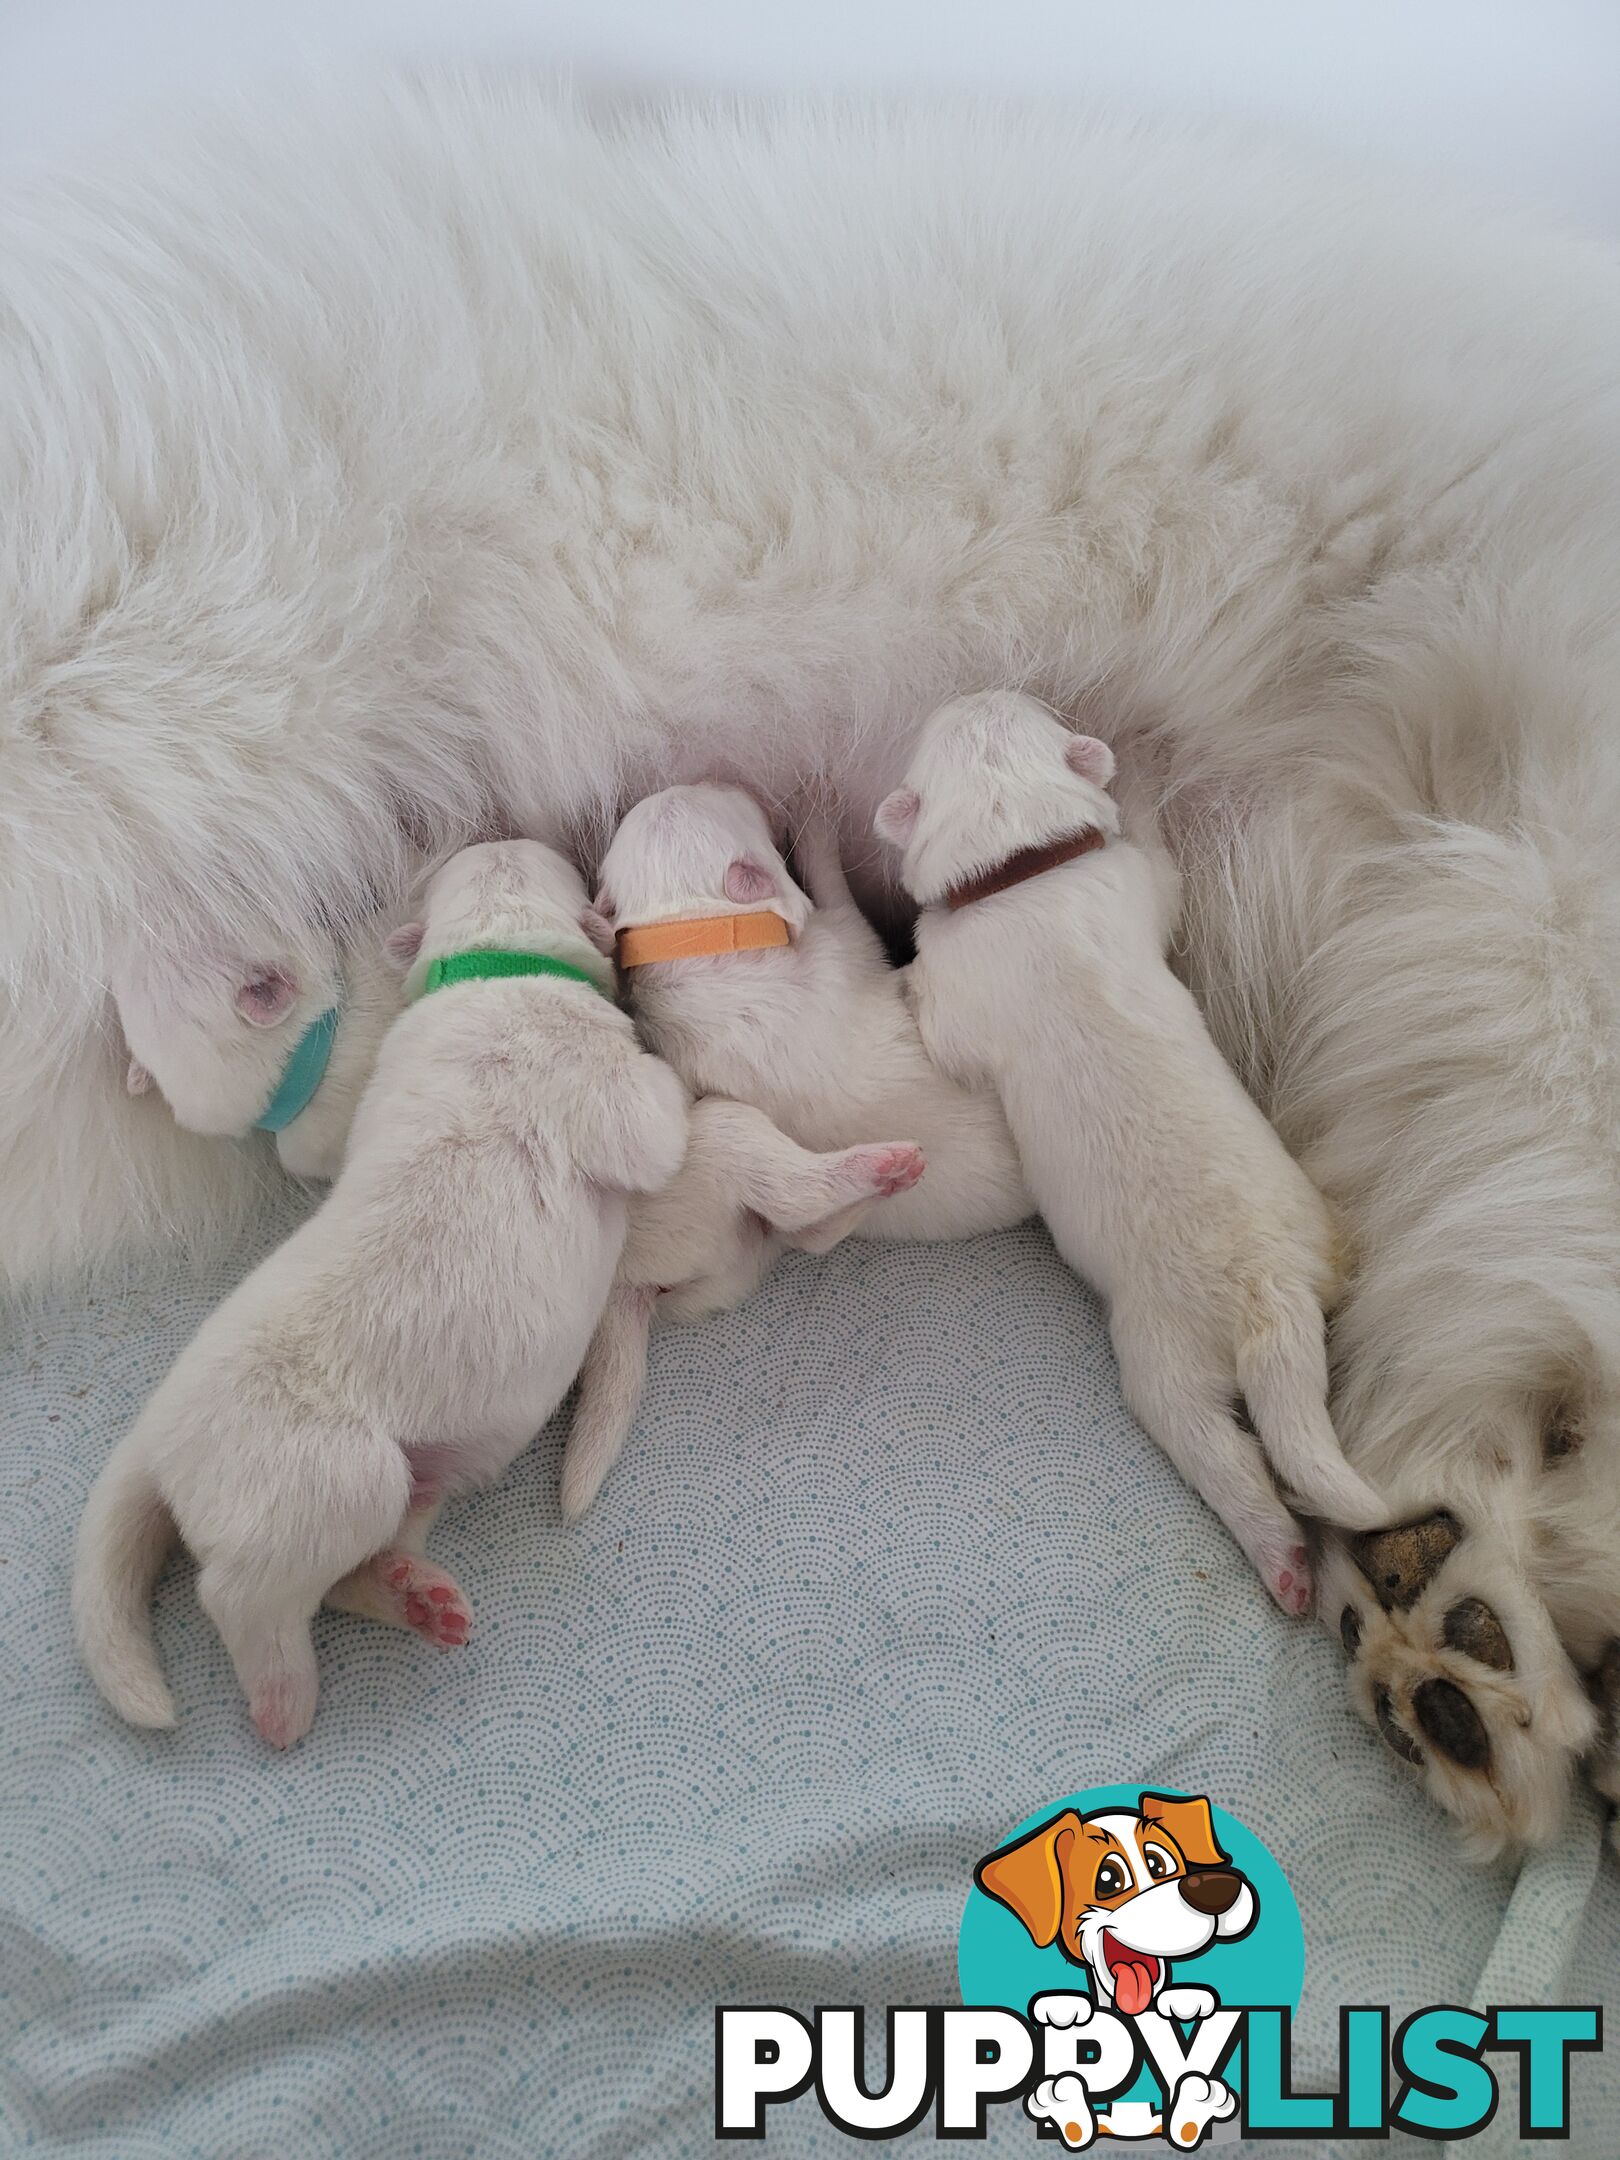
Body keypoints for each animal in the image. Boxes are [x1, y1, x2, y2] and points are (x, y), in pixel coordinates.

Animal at [71, 833, 686, 1745]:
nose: (503, 836)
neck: (493, 957)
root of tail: (152, 1440)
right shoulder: (602, 1082)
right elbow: (659, 1119)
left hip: (419, 1470)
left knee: (348, 1573)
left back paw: (416, 1598)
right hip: (325, 1478)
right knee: (240, 1594)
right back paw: (283, 1697)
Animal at [565, 1097, 924, 1520]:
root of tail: (620, 1284)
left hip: (728, 1272)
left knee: (807, 1233)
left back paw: (890, 1181)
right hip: (727, 1134)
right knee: (801, 1198)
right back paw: (882, 1162)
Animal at [881, 691, 1391, 1607]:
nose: (981, 692)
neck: (1025, 870)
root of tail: (1267, 1300)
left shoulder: (959, 991)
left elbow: (935, 1018)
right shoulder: (1134, 887)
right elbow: (1164, 874)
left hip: (1162, 1359)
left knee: (1221, 1457)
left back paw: (1281, 1558)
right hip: (1308, 1254)